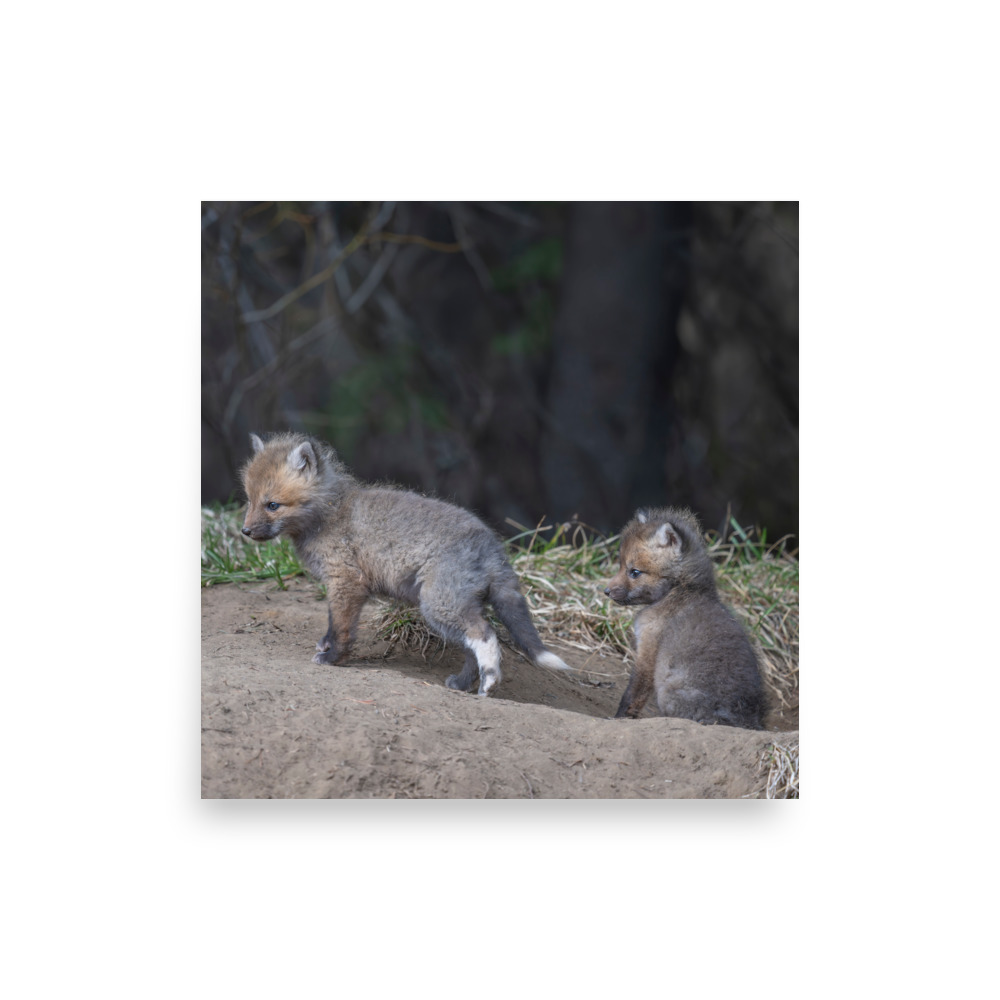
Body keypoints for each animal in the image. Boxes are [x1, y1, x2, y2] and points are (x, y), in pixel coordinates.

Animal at [240, 431, 572, 696]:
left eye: (273, 505)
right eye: (249, 500)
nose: (245, 531)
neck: (329, 513)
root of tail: (493, 546)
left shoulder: (346, 581)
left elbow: (342, 627)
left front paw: (333, 658)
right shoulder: (343, 586)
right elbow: (333, 623)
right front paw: (326, 646)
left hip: (439, 605)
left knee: (486, 635)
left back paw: (489, 682)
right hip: (453, 608)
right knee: (471, 647)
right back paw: (463, 684)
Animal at [604, 507, 763, 729]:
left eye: (634, 572)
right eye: (620, 566)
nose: (606, 591)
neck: (681, 590)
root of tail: (745, 720)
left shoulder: (648, 651)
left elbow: (632, 695)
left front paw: (618, 719)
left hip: (667, 692)